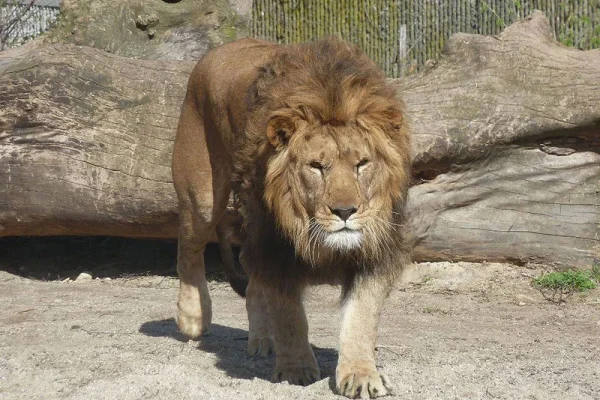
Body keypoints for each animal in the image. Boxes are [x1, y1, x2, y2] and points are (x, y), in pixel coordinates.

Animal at [171, 36, 410, 396]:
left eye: (361, 164)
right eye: (316, 166)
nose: (345, 211)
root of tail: (218, 50)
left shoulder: (374, 252)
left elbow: (361, 318)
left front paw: (361, 376)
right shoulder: (275, 247)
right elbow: (289, 314)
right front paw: (296, 369)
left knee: (250, 272)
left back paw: (262, 340)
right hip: (200, 197)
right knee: (188, 248)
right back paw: (192, 318)